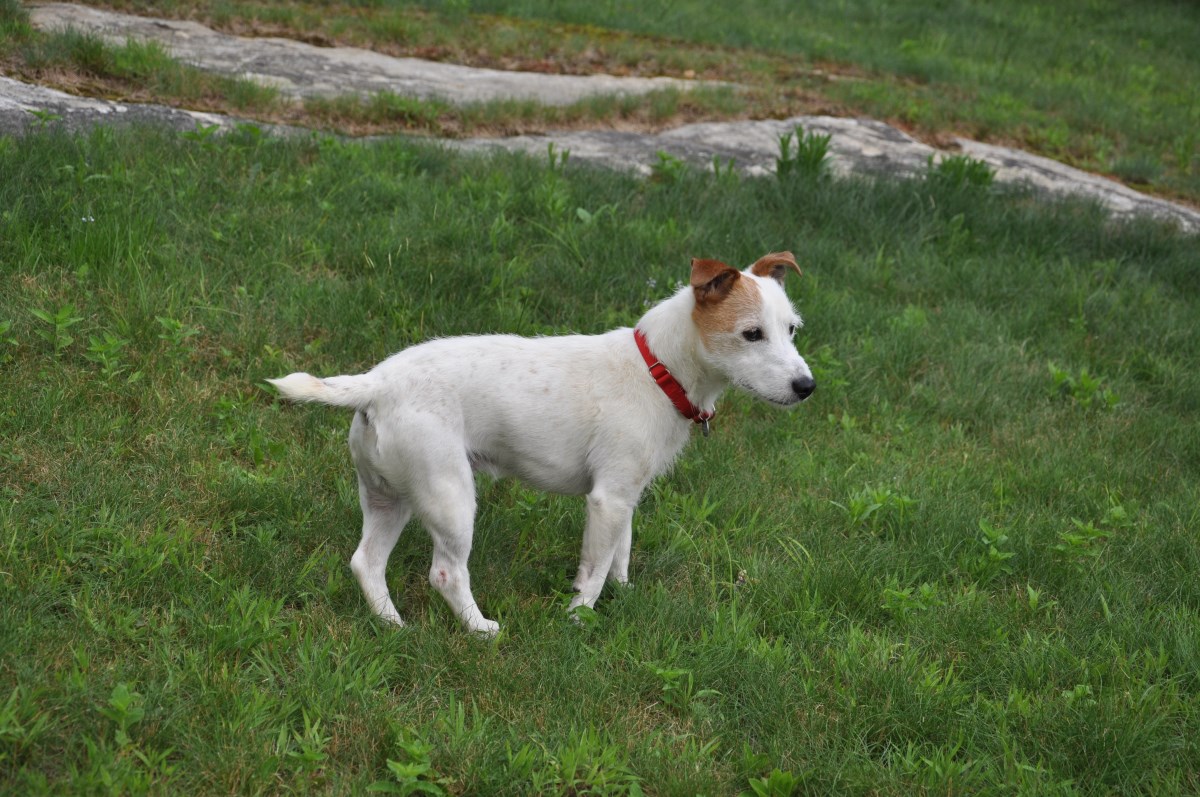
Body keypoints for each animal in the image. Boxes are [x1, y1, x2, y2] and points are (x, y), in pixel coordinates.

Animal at [270, 252, 816, 638]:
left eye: (791, 329)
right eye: (751, 334)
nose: (807, 387)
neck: (656, 369)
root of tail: (375, 383)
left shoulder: (625, 497)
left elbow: (620, 554)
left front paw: (625, 595)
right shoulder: (607, 499)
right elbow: (593, 571)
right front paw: (578, 621)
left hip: (391, 496)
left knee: (367, 563)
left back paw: (391, 624)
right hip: (450, 496)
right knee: (446, 573)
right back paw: (480, 629)